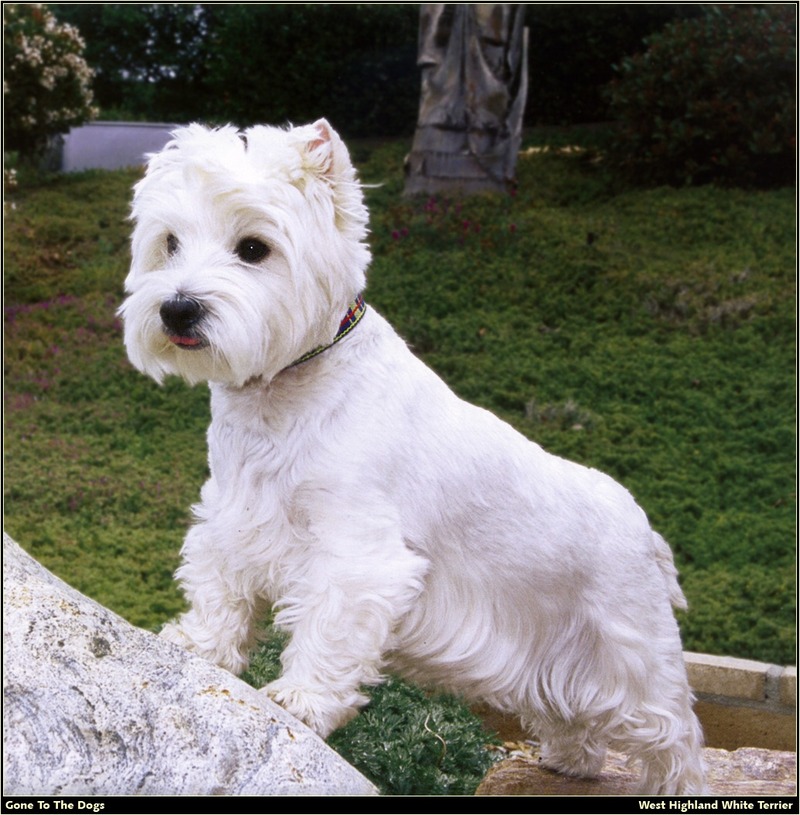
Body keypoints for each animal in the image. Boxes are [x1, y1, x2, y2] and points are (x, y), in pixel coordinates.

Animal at [119, 122, 708, 796]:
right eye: (169, 242)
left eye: (253, 248)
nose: (177, 309)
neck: (282, 391)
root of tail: (645, 527)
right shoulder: (231, 516)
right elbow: (220, 590)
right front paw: (198, 647)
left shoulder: (356, 553)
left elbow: (328, 627)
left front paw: (301, 699)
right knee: (572, 714)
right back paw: (567, 761)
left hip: (632, 648)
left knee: (673, 733)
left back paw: (673, 787)